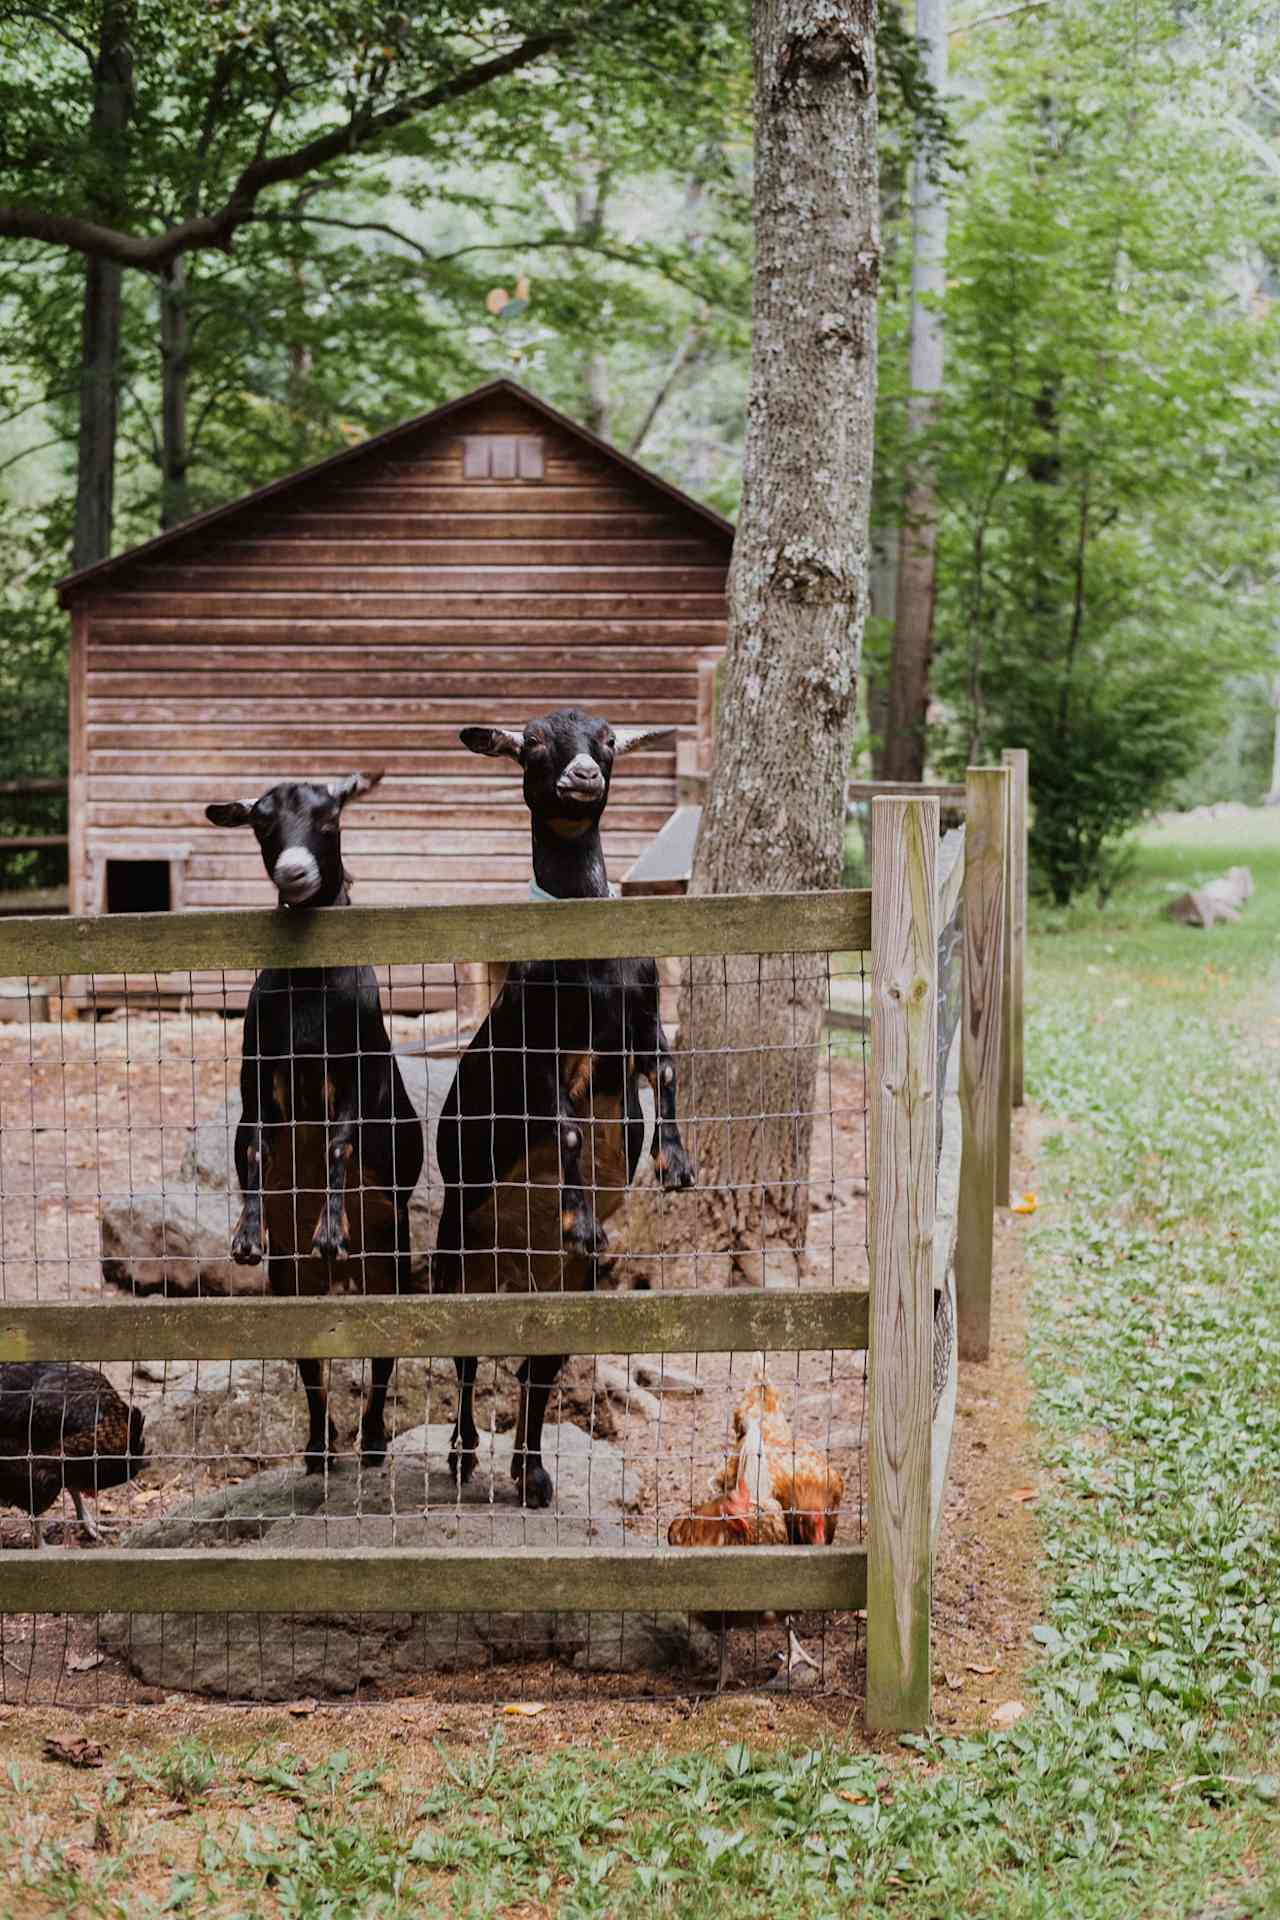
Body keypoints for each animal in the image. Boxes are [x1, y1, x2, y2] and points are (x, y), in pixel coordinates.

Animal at [205, 768, 426, 1466]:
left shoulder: (356, 1074)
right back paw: (319, 1447)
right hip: (293, 1279)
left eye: (331, 818)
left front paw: (331, 1230)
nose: (294, 872)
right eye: (260, 823)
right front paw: (244, 1236)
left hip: (390, 1260)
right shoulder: (257, 1074)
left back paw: (373, 1443)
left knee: (383, 1353)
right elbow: (254, 1147)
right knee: (312, 1358)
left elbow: (338, 1142)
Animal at [435, 714, 694, 1505]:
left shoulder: (639, 1016)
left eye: (608, 740)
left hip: (567, 1286)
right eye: (536, 742)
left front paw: (675, 1163)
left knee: (536, 1364)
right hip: (456, 1242)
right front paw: (581, 1217)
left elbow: (667, 1065)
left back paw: (531, 1472)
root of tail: (515, 1266)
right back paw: (463, 1456)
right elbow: (572, 1129)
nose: (584, 775)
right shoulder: (541, 1052)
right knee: (462, 1355)